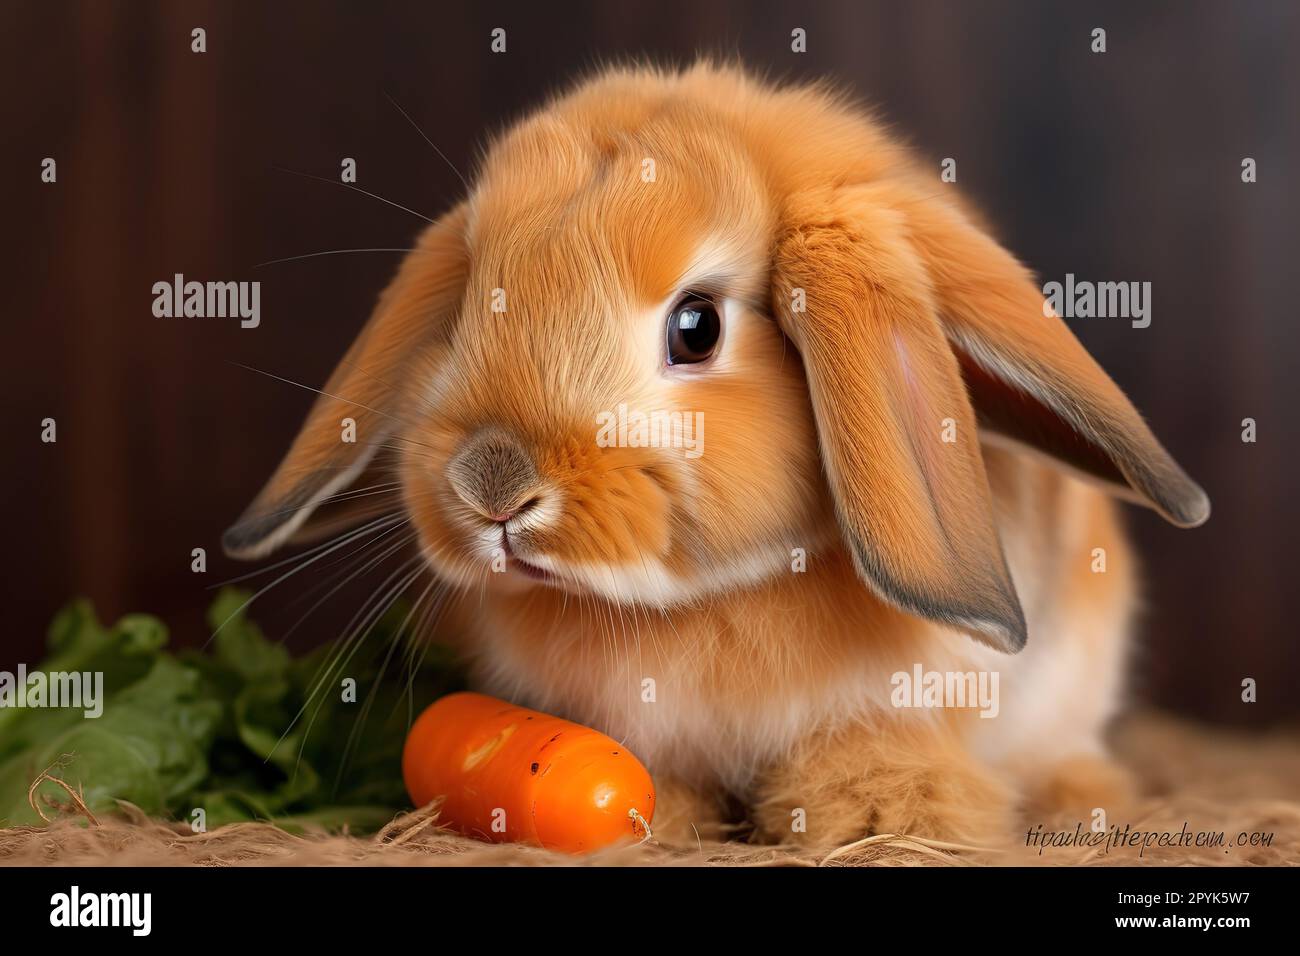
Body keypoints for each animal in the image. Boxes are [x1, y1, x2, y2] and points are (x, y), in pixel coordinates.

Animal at [224, 61, 1209, 850]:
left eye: (696, 327)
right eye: (469, 303)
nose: (491, 484)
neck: (706, 600)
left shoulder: (914, 700)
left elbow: (875, 744)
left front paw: (883, 814)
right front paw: (662, 820)